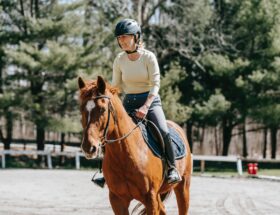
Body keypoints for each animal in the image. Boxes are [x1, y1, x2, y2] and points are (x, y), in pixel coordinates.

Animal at [79, 76, 192, 214]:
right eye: (81, 109)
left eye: (102, 109)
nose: (88, 147)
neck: (124, 155)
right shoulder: (117, 200)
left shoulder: (150, 199)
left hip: (183, 187)